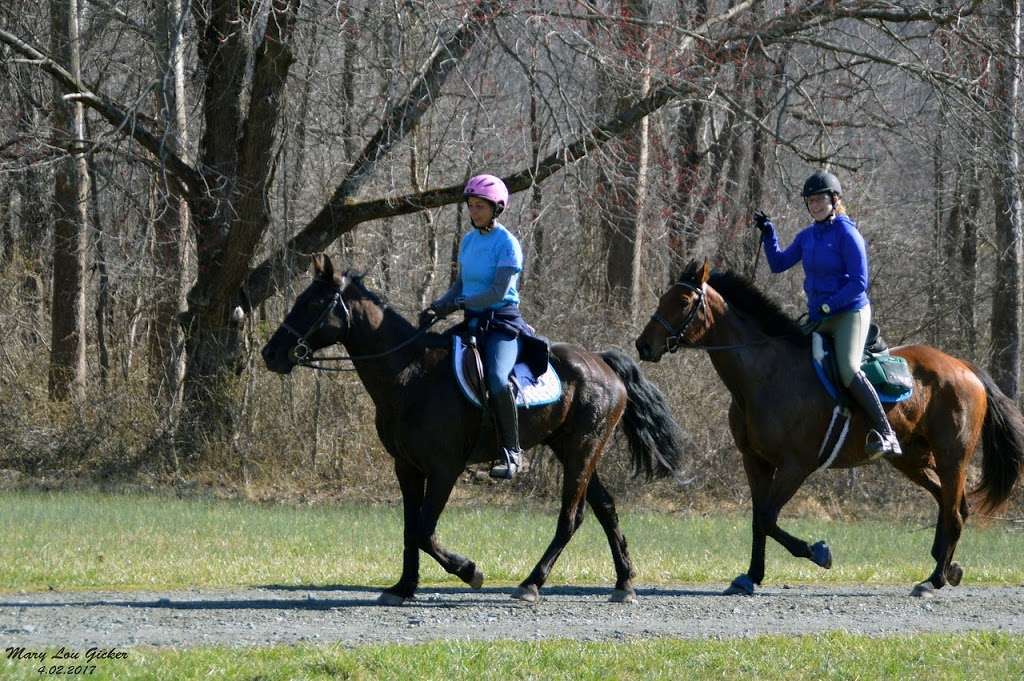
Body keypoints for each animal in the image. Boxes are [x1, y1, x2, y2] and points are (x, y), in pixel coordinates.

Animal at [260, 253, 688, 602]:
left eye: (313, 304)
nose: (270, 353)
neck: (410, 374)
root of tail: (601, 362)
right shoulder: (407, 468)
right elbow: (410, 529)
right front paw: (403, 587)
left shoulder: (444, 468)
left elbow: (424, 529)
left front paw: (469, 571)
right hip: (571, 449)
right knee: (605, 509)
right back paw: (624, 583)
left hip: (582, 450)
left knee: (572, 517)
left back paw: (531, 584)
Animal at [634, 260, 1019, 593]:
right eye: (663, 298)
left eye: (683, 301)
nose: (643, 345)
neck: (765, 375)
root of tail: (965, 368)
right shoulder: (755, 461)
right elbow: (759, 519)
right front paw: (751, 576)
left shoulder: (796, 465)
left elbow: (769, 518)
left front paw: (818, 552)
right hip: (911, 458)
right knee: (951, 504)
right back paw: (947, 567)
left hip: (952, 456)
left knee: (953, 511)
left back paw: (934, 579)